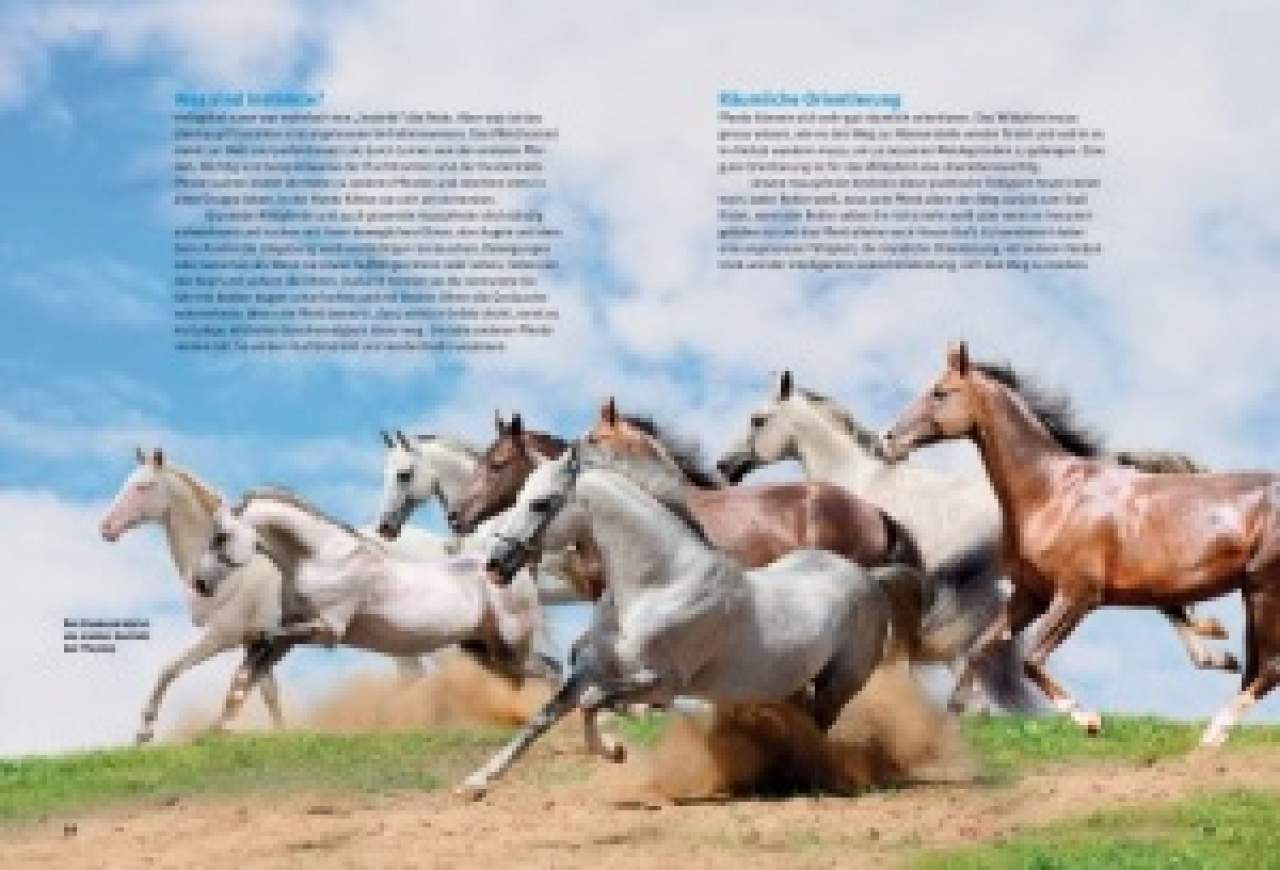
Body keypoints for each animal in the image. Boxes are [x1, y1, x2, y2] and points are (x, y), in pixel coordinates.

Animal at [190, 487, 550, 712]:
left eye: (220, 537)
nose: (200, 582)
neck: (320, 558)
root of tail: (512, 570)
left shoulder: (327, 630)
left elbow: (260, 642)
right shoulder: (292, 634)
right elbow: (247, 672)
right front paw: (214, 733)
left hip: (513, 647)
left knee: (550, 672)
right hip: (486, 650)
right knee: (521, 680)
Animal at [457, 445, 919, 798]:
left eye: (541, 503)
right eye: (517, 497)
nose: (494, 565)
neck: (660, 583)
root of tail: (869, 578)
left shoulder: (662, 684)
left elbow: (593, 702)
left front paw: (616, 750)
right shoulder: (591, 669)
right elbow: (545, 717)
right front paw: (475, 783)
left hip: (839, 683)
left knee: (819, 728)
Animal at [717, 371, 1239, 709]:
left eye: (757, 419)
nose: (725, 466)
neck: (862, 486)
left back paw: (1217, 654)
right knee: (1171, 605)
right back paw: (1219, 656)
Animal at [883, 342, 1280, 745]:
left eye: (940, 392)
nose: (889, 440)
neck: (1052, 492)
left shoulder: (1078, 595)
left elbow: (1031, 660)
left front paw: (1088, 720)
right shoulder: (1031, 595)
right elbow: (981, 648)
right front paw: (955, 715)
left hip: (1264, 589)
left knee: (1268, 668)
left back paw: (1213, 734)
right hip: (1252, 593)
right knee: (1255, 668)